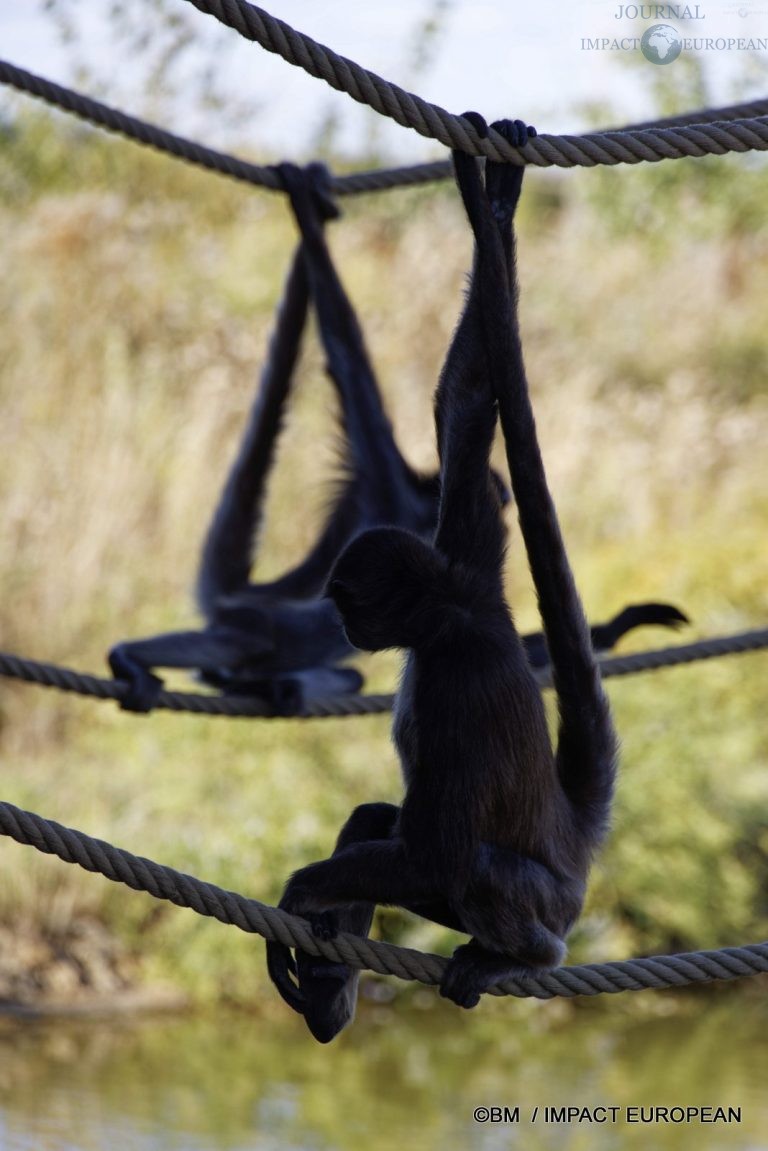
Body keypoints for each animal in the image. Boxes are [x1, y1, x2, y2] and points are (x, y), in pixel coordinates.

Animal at [106, 165, 686, 713]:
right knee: (248, 641)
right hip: (260, 626)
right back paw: (133, 657)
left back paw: (265, 687)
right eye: (498, 495)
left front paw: (616, 628)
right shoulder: (384, 477)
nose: (499, 504)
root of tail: (248, 596)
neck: (417, 509)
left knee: (330, 673)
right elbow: (347, 354)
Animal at [267, 121, 621, 1040]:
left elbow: (438, 854)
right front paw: (492, 206)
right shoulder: (474, 559)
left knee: (474, 867)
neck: (453, 615)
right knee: (374, 821)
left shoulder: (455, 678)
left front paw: (299, 892)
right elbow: (465, 403)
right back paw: (334, 994)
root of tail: (570, 842)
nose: (344, 625)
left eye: (348, 600)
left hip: (540, 901)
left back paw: (516, 955)